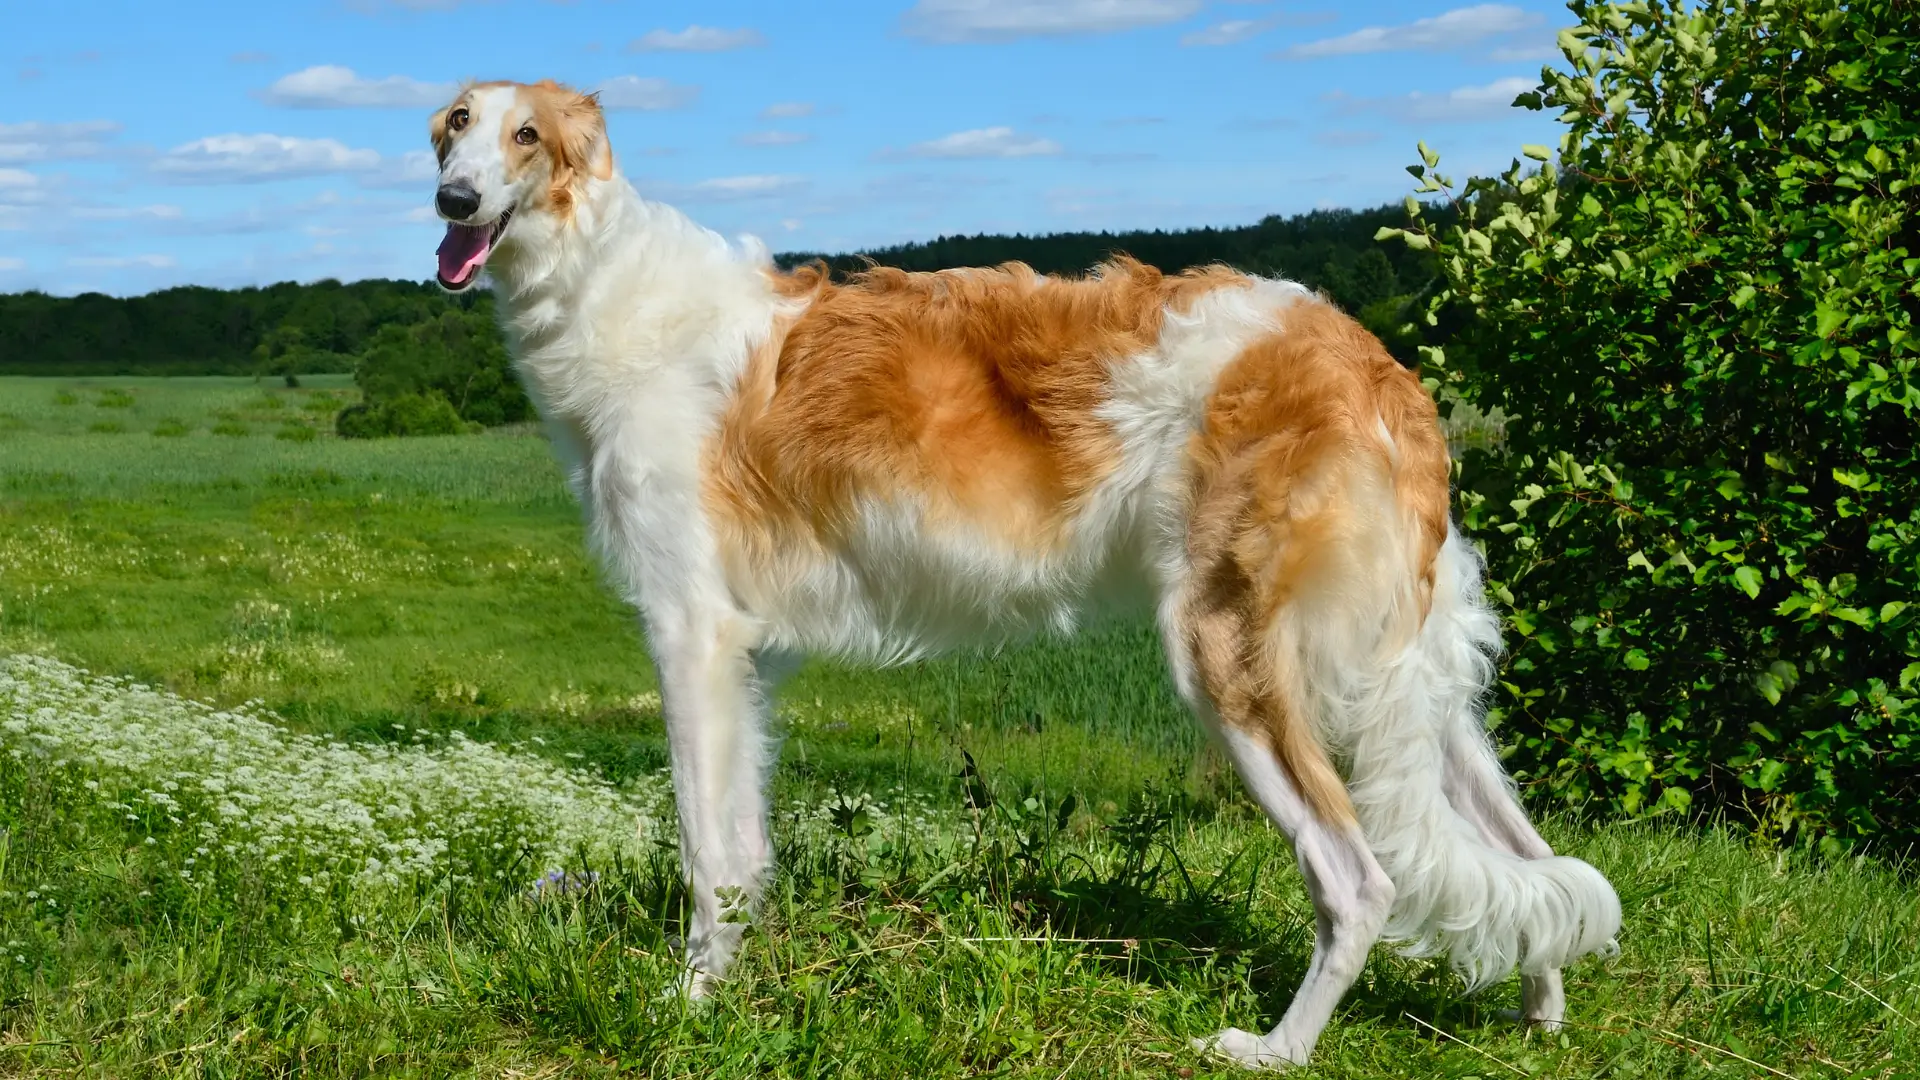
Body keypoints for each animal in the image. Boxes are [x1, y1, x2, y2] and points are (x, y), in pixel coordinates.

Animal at [428, 79, 1612, 1060]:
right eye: (453, 124)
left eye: (526, 136)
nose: (452, 199)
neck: (612, 294)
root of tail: (1370, 360)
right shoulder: (749, 659)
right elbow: (748, 852)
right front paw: (736, 985)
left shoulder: (692, 634)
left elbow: (705, 851)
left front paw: (688, 1006)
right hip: (1405, 677)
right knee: (1532, 863)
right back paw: (1541, 1015)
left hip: (1232, 656)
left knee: (1360, 879)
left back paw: (1274, 1049)